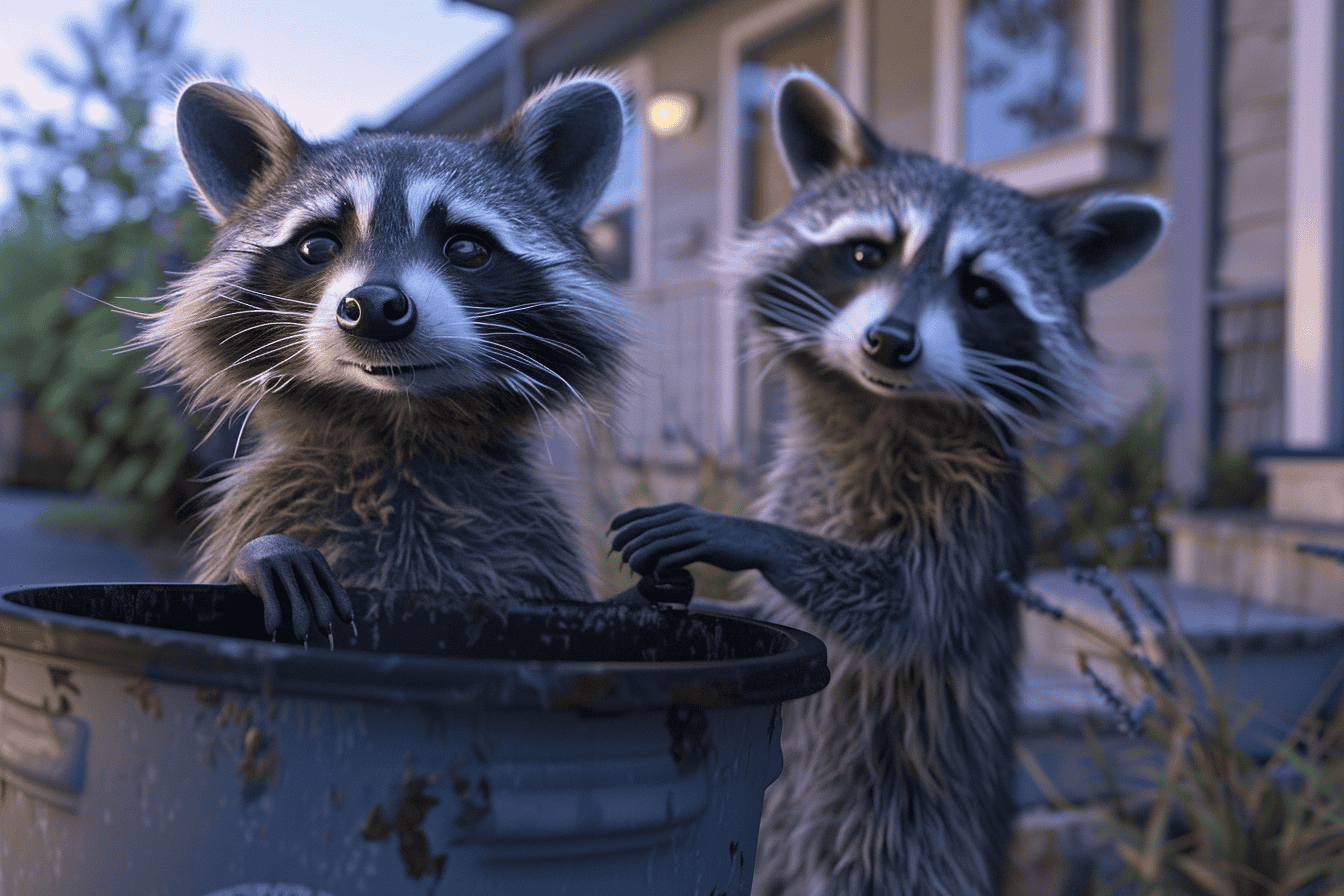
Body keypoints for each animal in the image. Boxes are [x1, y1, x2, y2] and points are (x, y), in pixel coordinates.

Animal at [138, 74, 628, 641]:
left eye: (466, 248)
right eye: (317, 246)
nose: (372, 306)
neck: (399, 434)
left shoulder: (532, 536)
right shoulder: (277, 498)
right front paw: (261, 556)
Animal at [611, 71, 1166, 895]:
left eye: (980, 292)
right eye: (866, 252)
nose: (890, 343)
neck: (877, 408)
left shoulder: (975, 509)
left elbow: (909, 602)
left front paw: (752, 537)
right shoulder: (802, 472)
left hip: (901, 837)